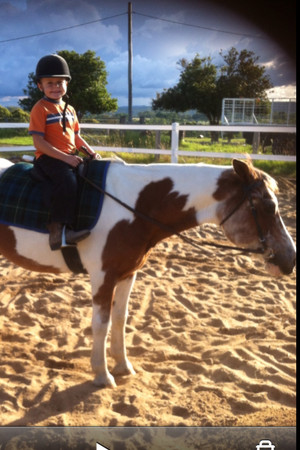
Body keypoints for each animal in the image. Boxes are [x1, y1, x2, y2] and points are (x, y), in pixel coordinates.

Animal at [0, 158, 296, 386]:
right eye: (269, 206)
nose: (290, 259)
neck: (134, 207)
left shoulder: (127, 273)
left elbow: (120, 319)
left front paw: (123, 365)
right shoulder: (102, 277)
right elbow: (101, 325)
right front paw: (102, 375)